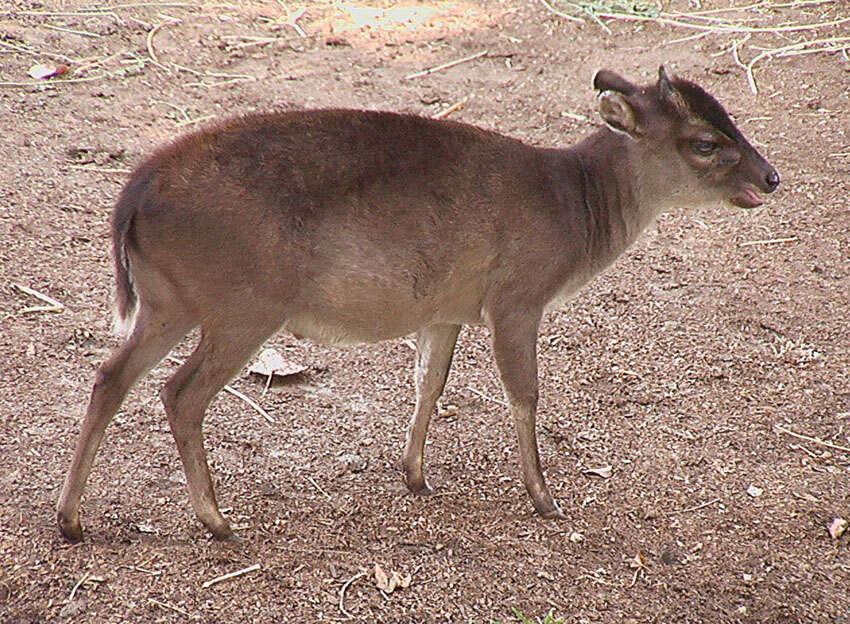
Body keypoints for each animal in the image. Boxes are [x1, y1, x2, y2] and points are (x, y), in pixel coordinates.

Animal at [56, 67, 780, 540]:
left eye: (730, 119)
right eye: (705, 142)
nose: (772, 177)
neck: (574, 207)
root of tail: (132, 196)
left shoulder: (446, 307)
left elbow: (428, 383)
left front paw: (415, 475)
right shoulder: (517, 294)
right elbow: (524, 393)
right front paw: (544, 497)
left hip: (167, 299)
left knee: (109, 376)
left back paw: (71, 520)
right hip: (246, 303)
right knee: (180, 393)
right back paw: (215, 520)